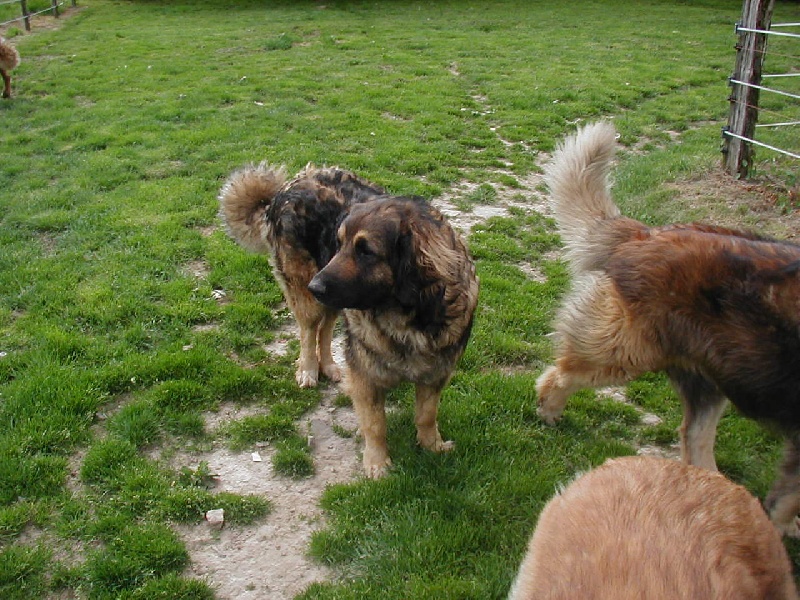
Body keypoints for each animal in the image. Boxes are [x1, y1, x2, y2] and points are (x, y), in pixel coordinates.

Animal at [217, 163, 382, 390]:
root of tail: (280, 193)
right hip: (304, 285)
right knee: (309, 330)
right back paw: (308, 371)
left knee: (324, 329)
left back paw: (328, 366)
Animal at [310, 197, 478, 478]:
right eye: (339, 243)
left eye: (366, 251)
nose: (314, 287)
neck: (406, 321)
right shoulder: (365, 374)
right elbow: (375, 423)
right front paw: (377, 463)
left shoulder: (437, 372)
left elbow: (427, 415)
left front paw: (432, 446)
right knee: (309, 330)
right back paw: (307, 371)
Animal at [536, 122, 800, 536]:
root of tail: (646, 234)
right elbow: (789, 499)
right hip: (628, 350)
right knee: (562, 373)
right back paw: (549, 409)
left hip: (714, 369)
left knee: (694, 438)